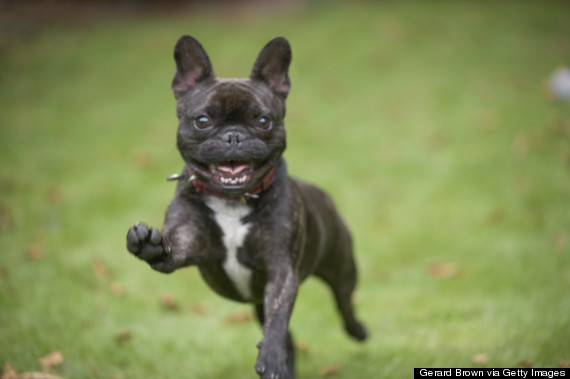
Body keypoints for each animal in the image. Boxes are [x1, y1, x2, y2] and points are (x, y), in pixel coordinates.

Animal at [126, 35, 366, 379]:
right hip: (260, 301)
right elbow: (170, 250)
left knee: (343, 303)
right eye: (202, 121)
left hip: (342, 267)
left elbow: (278, 319)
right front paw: (147, 243)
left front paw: (272, 356)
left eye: (263, 120)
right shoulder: (186, 238)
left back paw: (356, 331)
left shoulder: (282, 271)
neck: (233, 200)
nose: (233, 136)